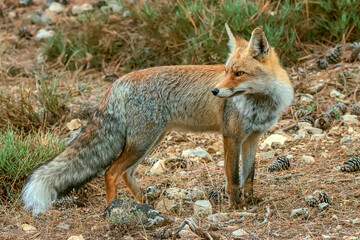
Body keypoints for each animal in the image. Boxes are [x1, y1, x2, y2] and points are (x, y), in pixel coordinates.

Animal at [21, 24, 292, 216]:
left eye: (239, 73)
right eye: (226, 71)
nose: (215, 91)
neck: (260, 103)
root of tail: (118, 81)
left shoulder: (253, 138)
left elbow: (249, 175)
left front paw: (250, 200)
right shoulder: (231, 136)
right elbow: (234, 177)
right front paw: (235, 205)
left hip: (151, 139)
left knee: (127, 173)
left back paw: (144, 202)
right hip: (144, 141)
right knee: (111, 172)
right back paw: (112, 210)